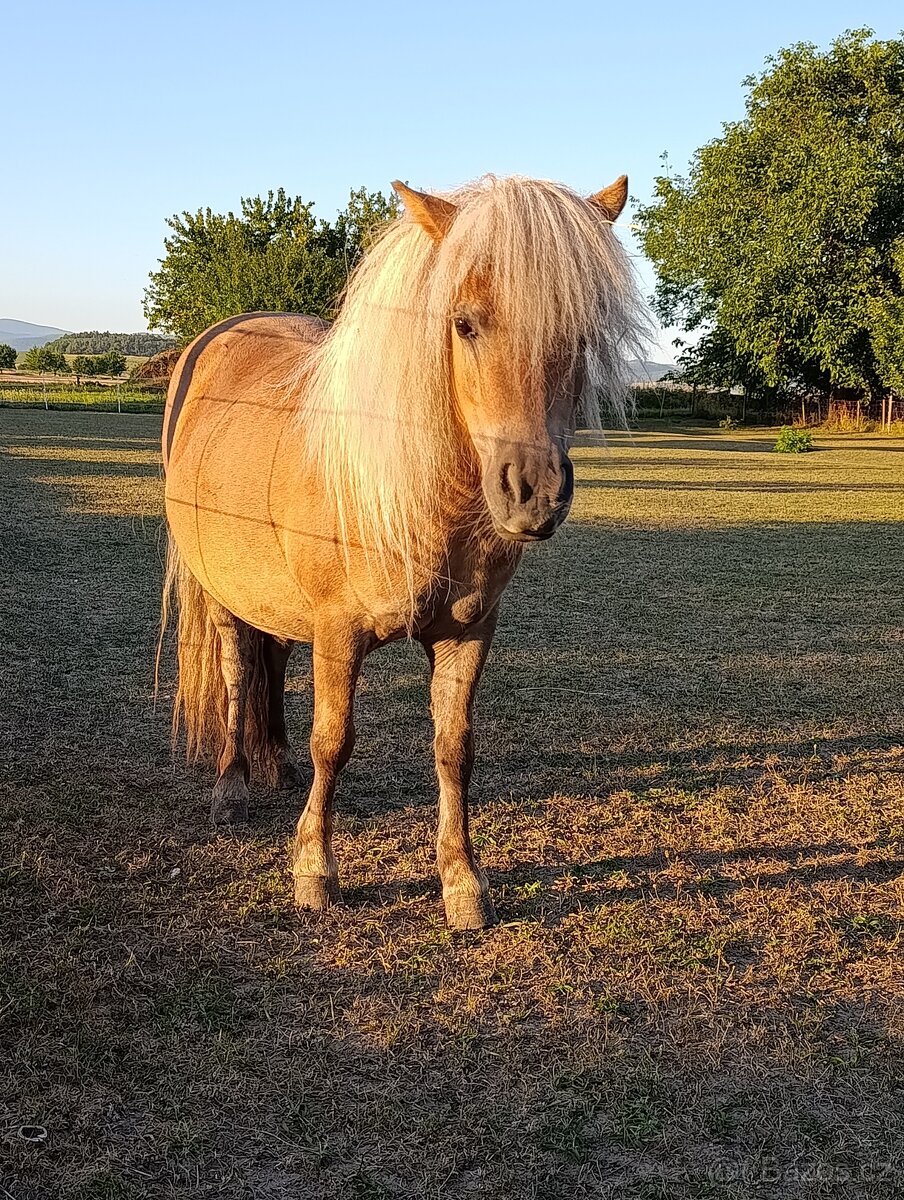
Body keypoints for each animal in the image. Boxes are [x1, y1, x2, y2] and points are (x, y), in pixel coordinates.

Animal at [161, 173, 645, 930]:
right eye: (464, 323)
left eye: (583, 332)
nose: (533, 492)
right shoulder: (338, 632)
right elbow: (333, 741)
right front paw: (315, 871)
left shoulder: (469, 632)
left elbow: (454, 748)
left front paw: (462, 881)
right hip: (221, 592)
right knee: (239, 673)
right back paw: (233, 786)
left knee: (273, 658)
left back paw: (274, 766)